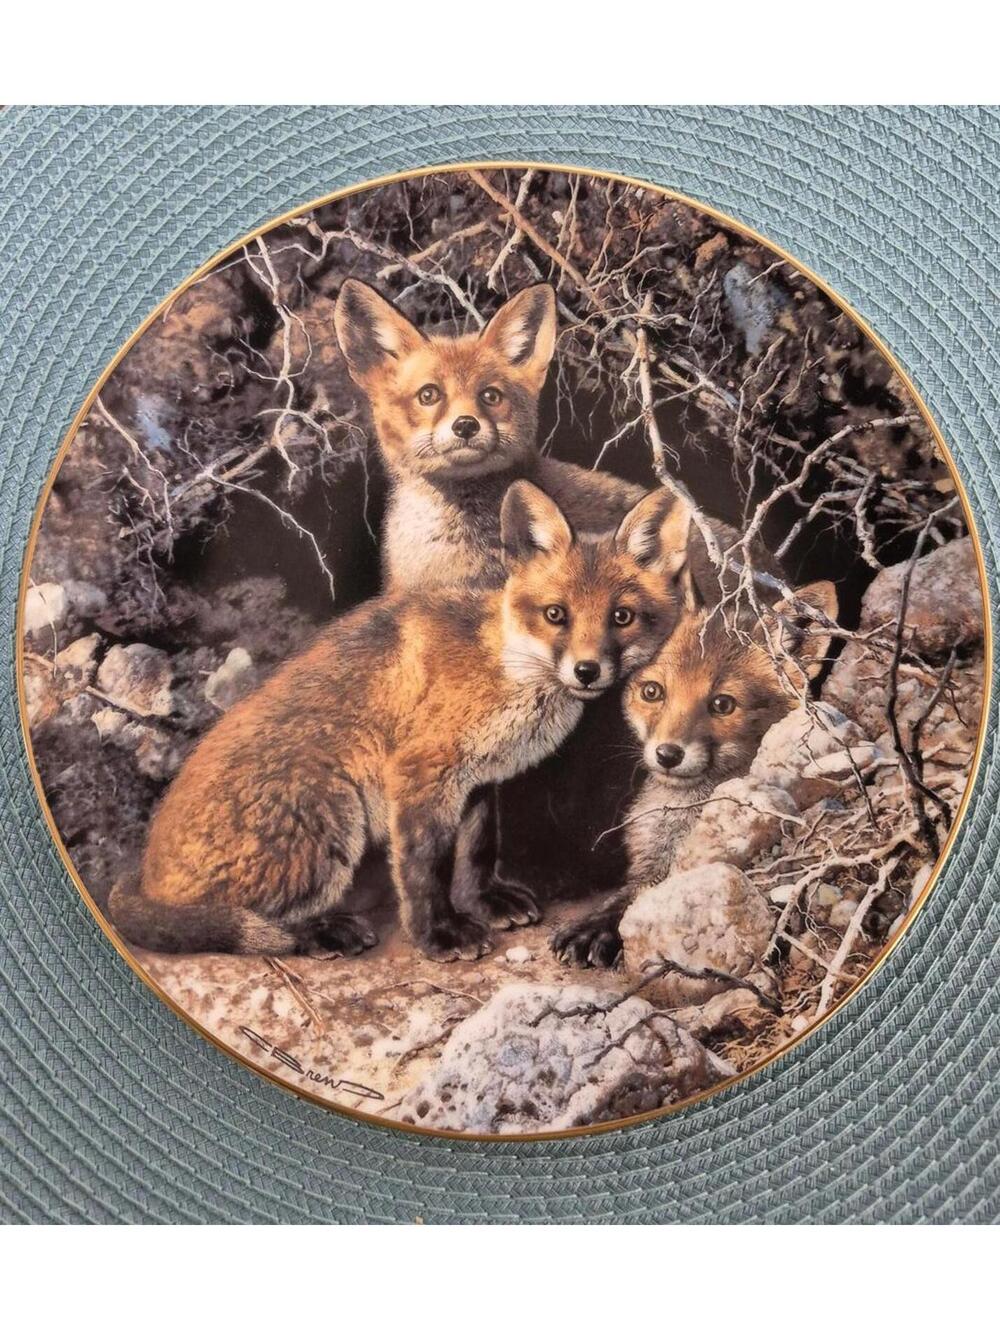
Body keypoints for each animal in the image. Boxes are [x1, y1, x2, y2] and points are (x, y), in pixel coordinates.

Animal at [108, 481, 689, 963]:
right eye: (556, 615)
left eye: (621, 617)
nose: (588, 671)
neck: (502, 666)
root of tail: (145, 872)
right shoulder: (420, 771)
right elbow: (423, 870)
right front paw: (438, 936)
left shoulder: (475, 781)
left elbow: (477, 852)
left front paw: (484, 902)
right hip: (331, 818)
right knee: (250, 923)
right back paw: (320, 931)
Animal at [552, 576, 839, 969]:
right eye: (652, 692)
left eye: (722, 704)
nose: (667, 754)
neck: (683, 814)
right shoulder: (649, 862)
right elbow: (623, 894)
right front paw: (592, 924)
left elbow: (634, 903)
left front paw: (596, 933)